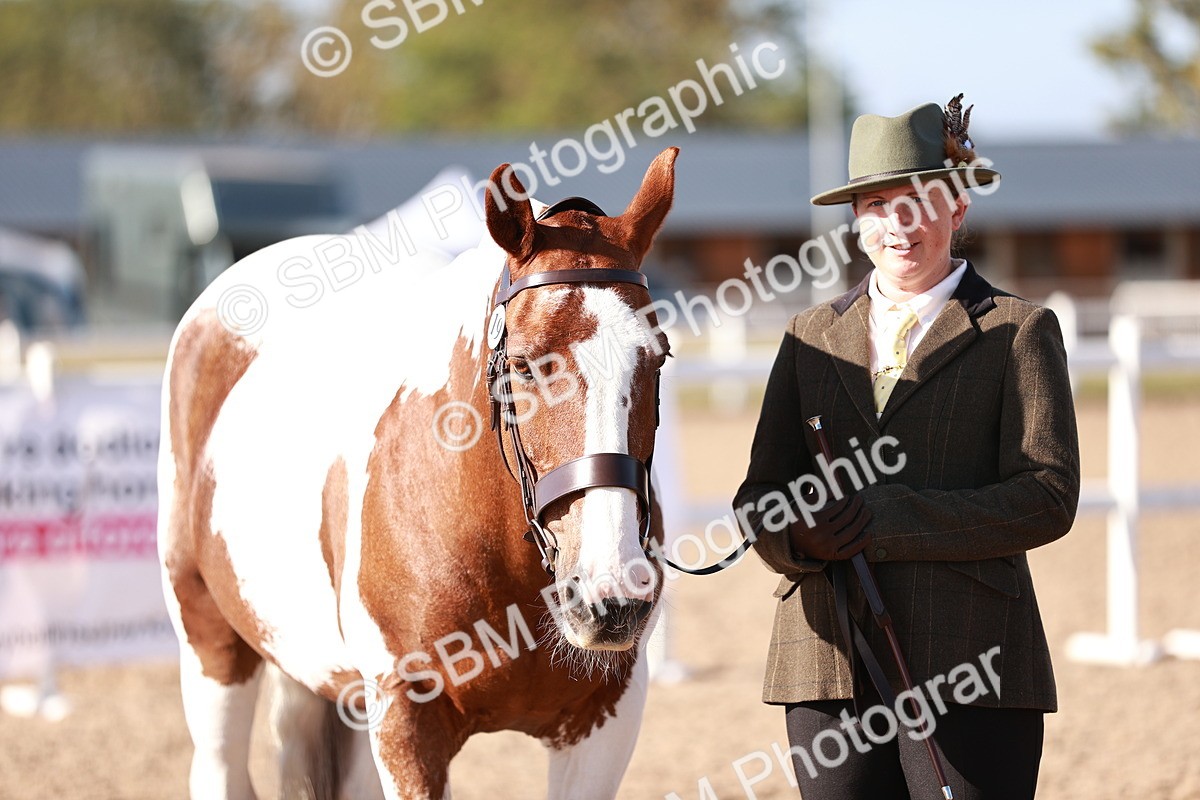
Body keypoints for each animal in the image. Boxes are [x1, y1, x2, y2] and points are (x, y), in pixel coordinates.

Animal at [157, 147, 679, 799]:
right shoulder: (405, 723)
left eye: (658, 357)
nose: (612, 593)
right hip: (212, 647)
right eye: (526, 365)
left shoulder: (604, 718)